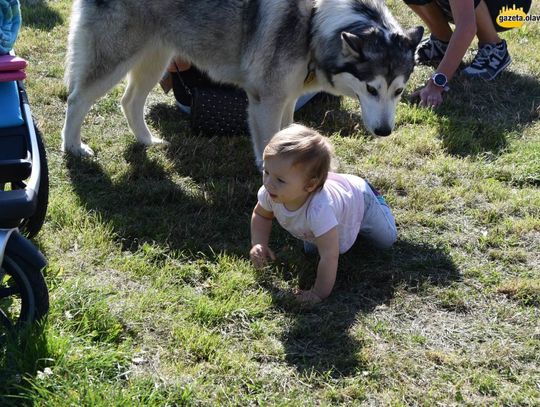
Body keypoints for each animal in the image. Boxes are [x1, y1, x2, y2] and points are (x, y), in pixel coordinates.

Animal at [60, 0, 422, 164]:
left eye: (398, 91)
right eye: (372, 89)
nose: (384, 132)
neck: (313, 22)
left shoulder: (287, 98)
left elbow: (287, 133)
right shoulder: (265, 101)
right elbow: (268, 144)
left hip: (155, 58)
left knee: (130, 101)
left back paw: (147, 141)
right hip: (114, 61)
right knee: (77, 100)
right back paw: (74, 147)